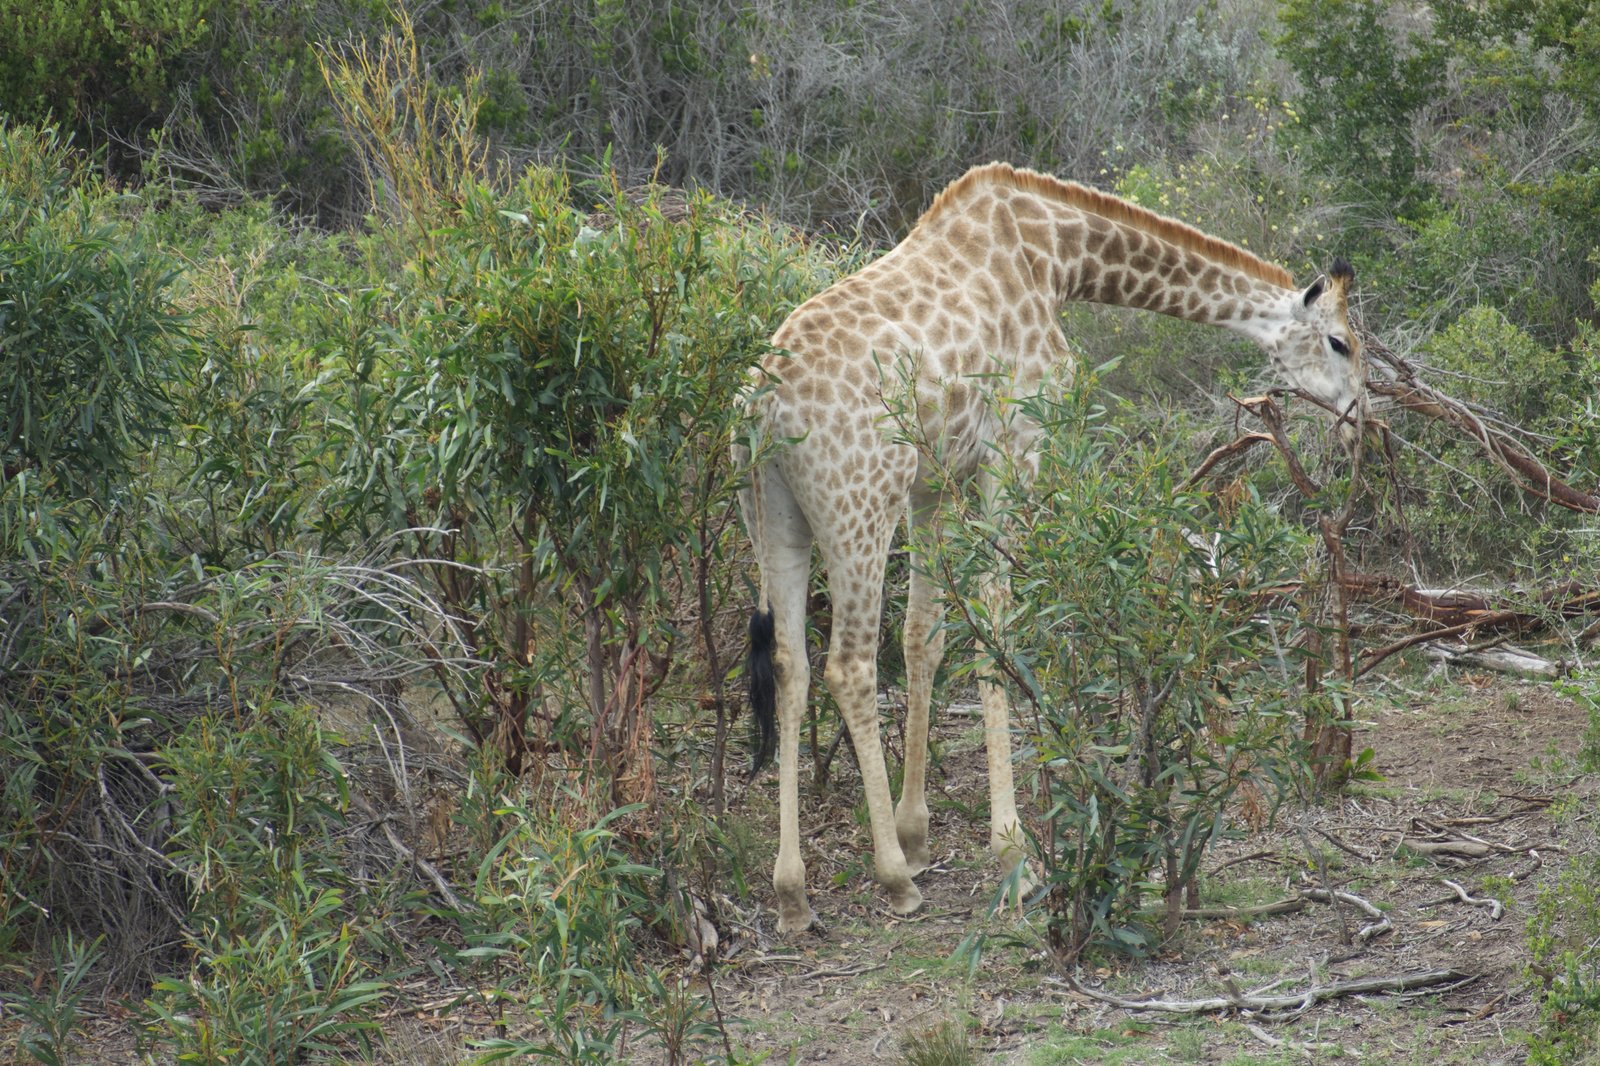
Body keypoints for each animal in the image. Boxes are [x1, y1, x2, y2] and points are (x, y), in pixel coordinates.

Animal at [739, 162, 1366, 934]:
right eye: (1339, 342)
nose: (1361, 421)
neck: (1059, 257)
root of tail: (762, 405)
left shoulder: (934, 481)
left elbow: (925, 637)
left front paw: (919, 832)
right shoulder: (1016, 444)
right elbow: (996, 632)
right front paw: (1012, 855)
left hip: (776, 515)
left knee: (790, 666)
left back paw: (792, 891)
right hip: (859, 506)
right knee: (849, 666)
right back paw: (891, 879)